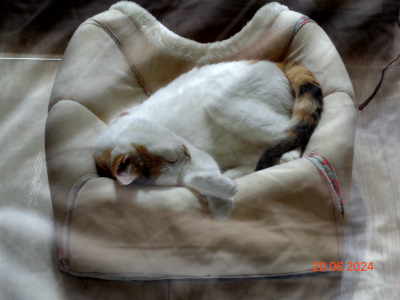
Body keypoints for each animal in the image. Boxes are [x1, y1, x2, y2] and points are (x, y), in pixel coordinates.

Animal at [93, 60, 322, 220]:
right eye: (170, 161)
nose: (185, 153)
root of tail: (278, 63)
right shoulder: (183, 172)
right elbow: (196, 178)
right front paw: (221, 195)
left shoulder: (193, 151)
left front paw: (221, 202)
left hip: (222, 104)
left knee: (291, 130)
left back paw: (288, 154)